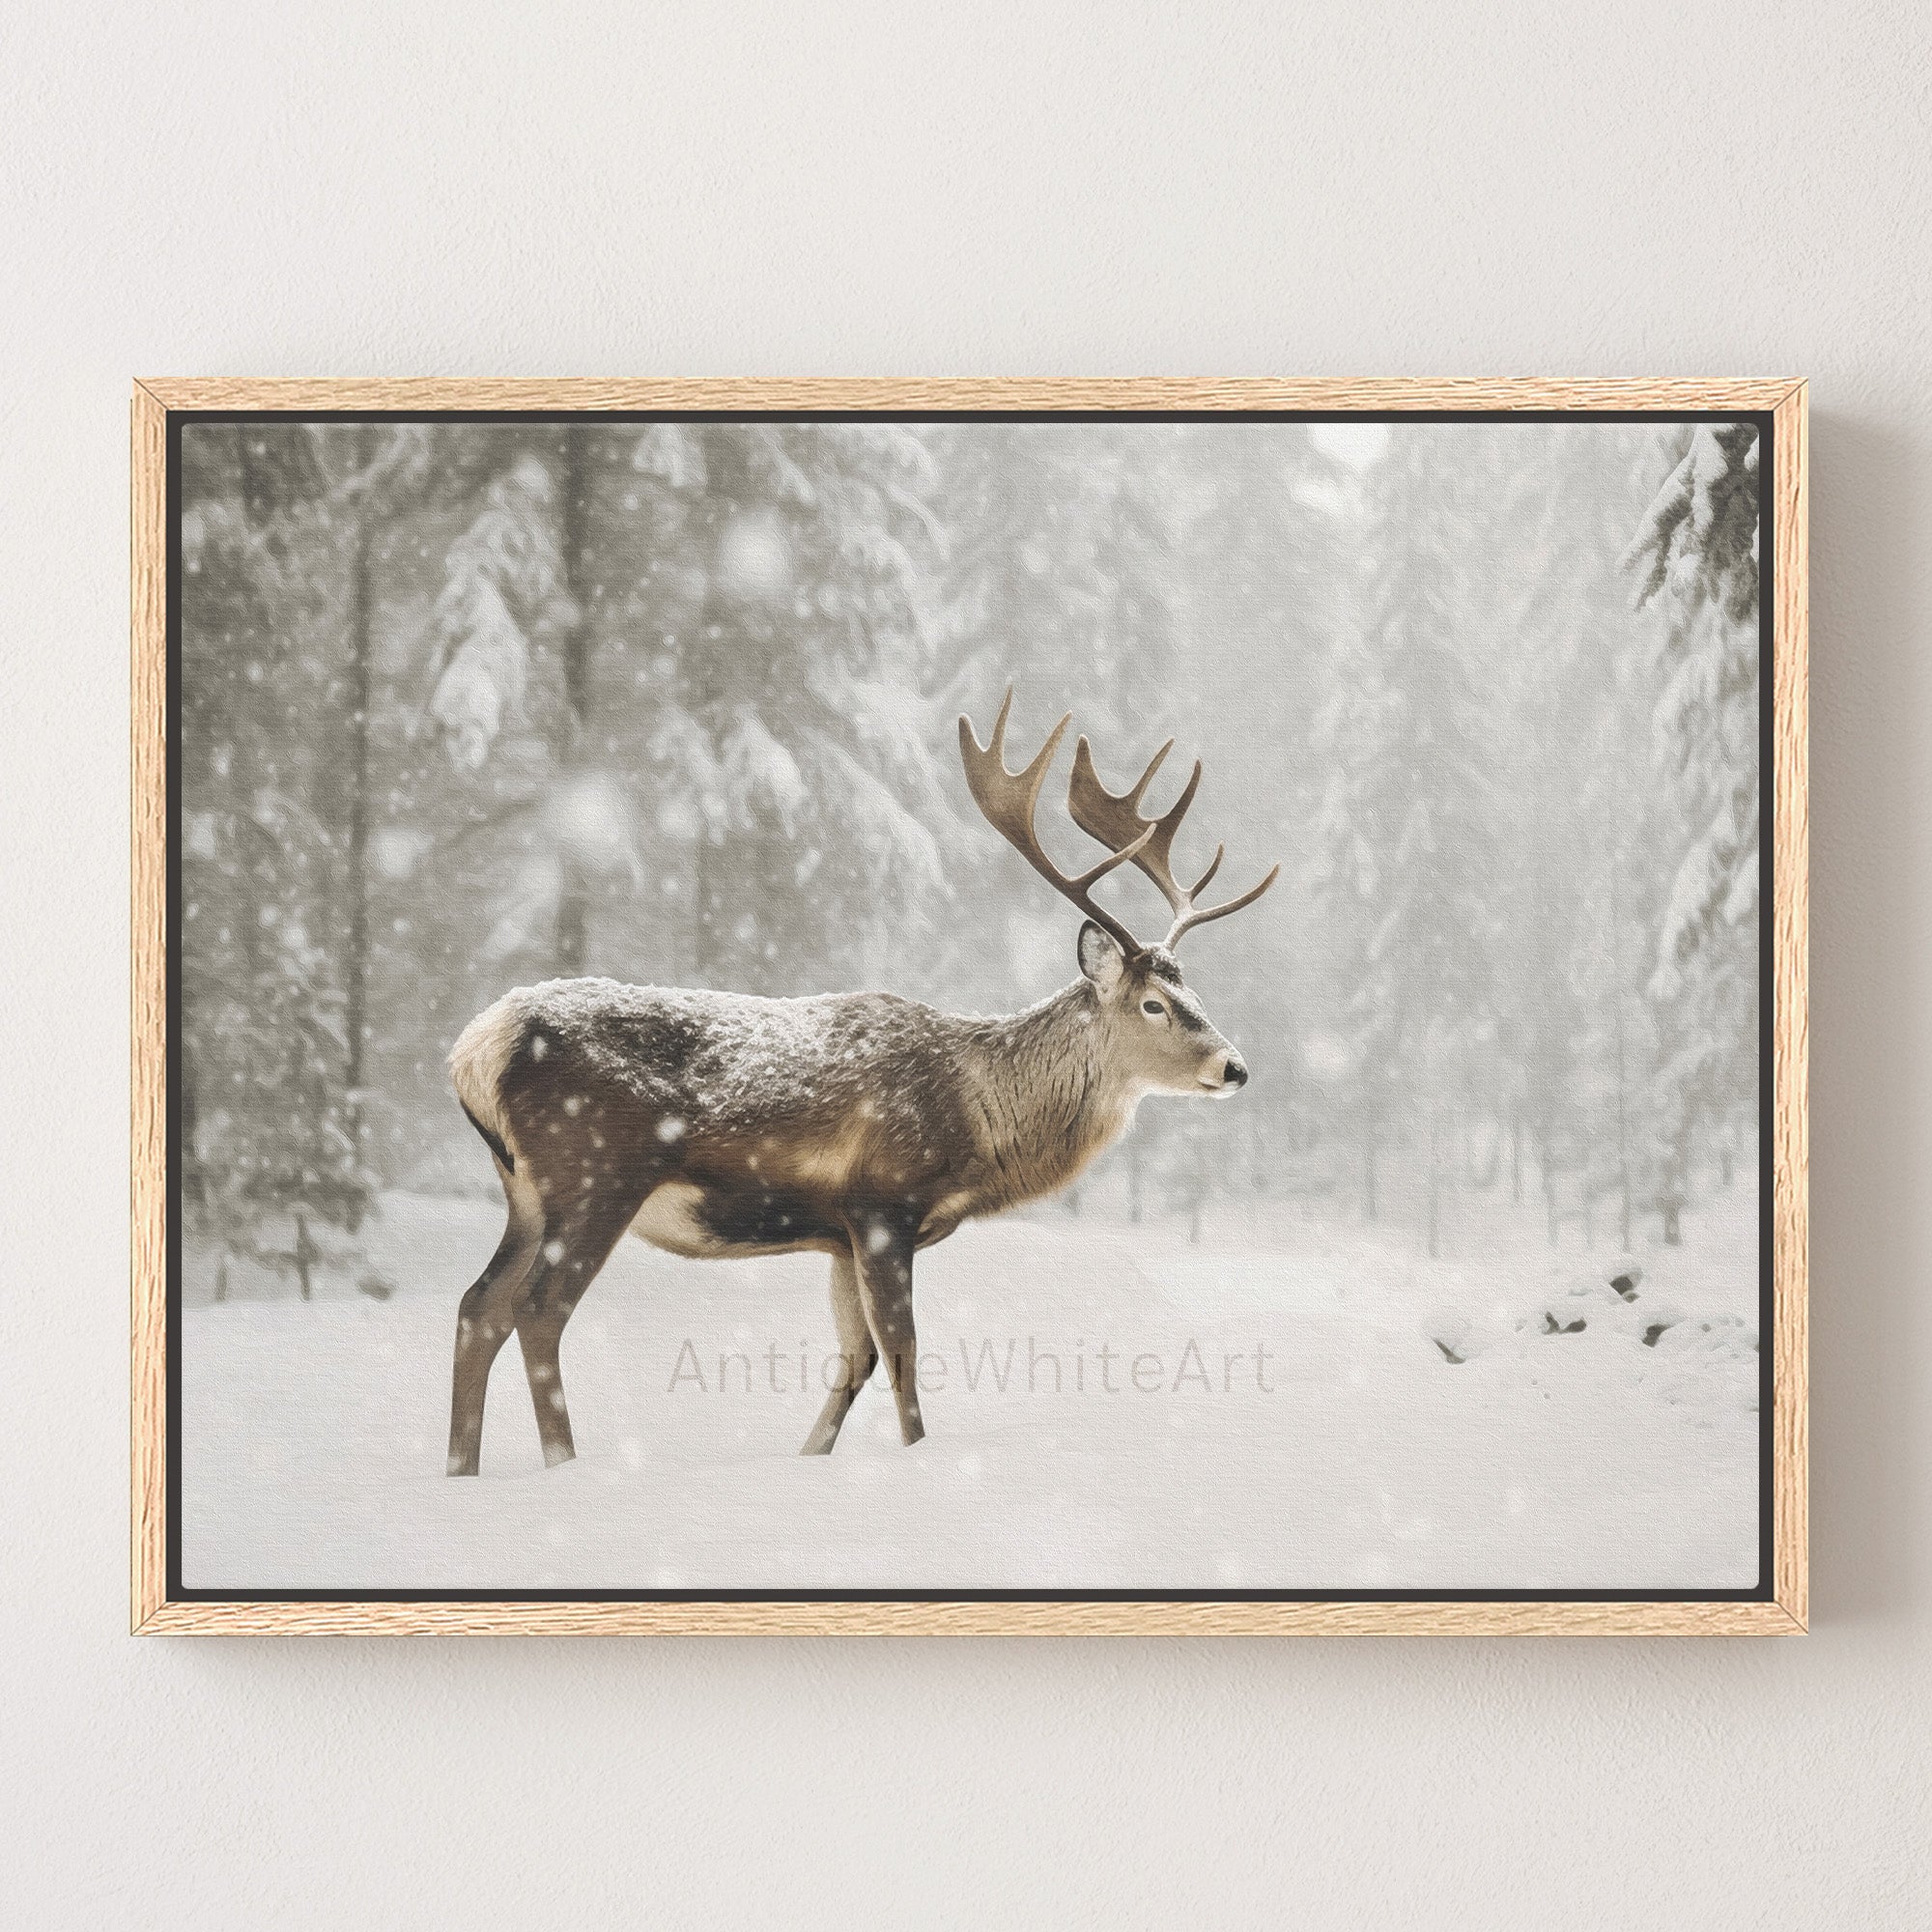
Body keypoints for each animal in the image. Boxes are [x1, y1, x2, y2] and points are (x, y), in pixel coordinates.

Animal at [444, 691, 1279, 1475]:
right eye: (1153, 1004)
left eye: (1192, 991)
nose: (1234, 1066)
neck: (978, 1125)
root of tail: (475, 1048)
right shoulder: (884, 1201)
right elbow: (903, 1356)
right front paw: (914, 1455)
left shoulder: (839, 1231)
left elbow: (858, 1359)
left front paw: (810, 1458)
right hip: (594, 1173)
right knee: (539, 1311)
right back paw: (564, 1466)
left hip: (526, 1190)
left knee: (479, 1306)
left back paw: (462, 1470)